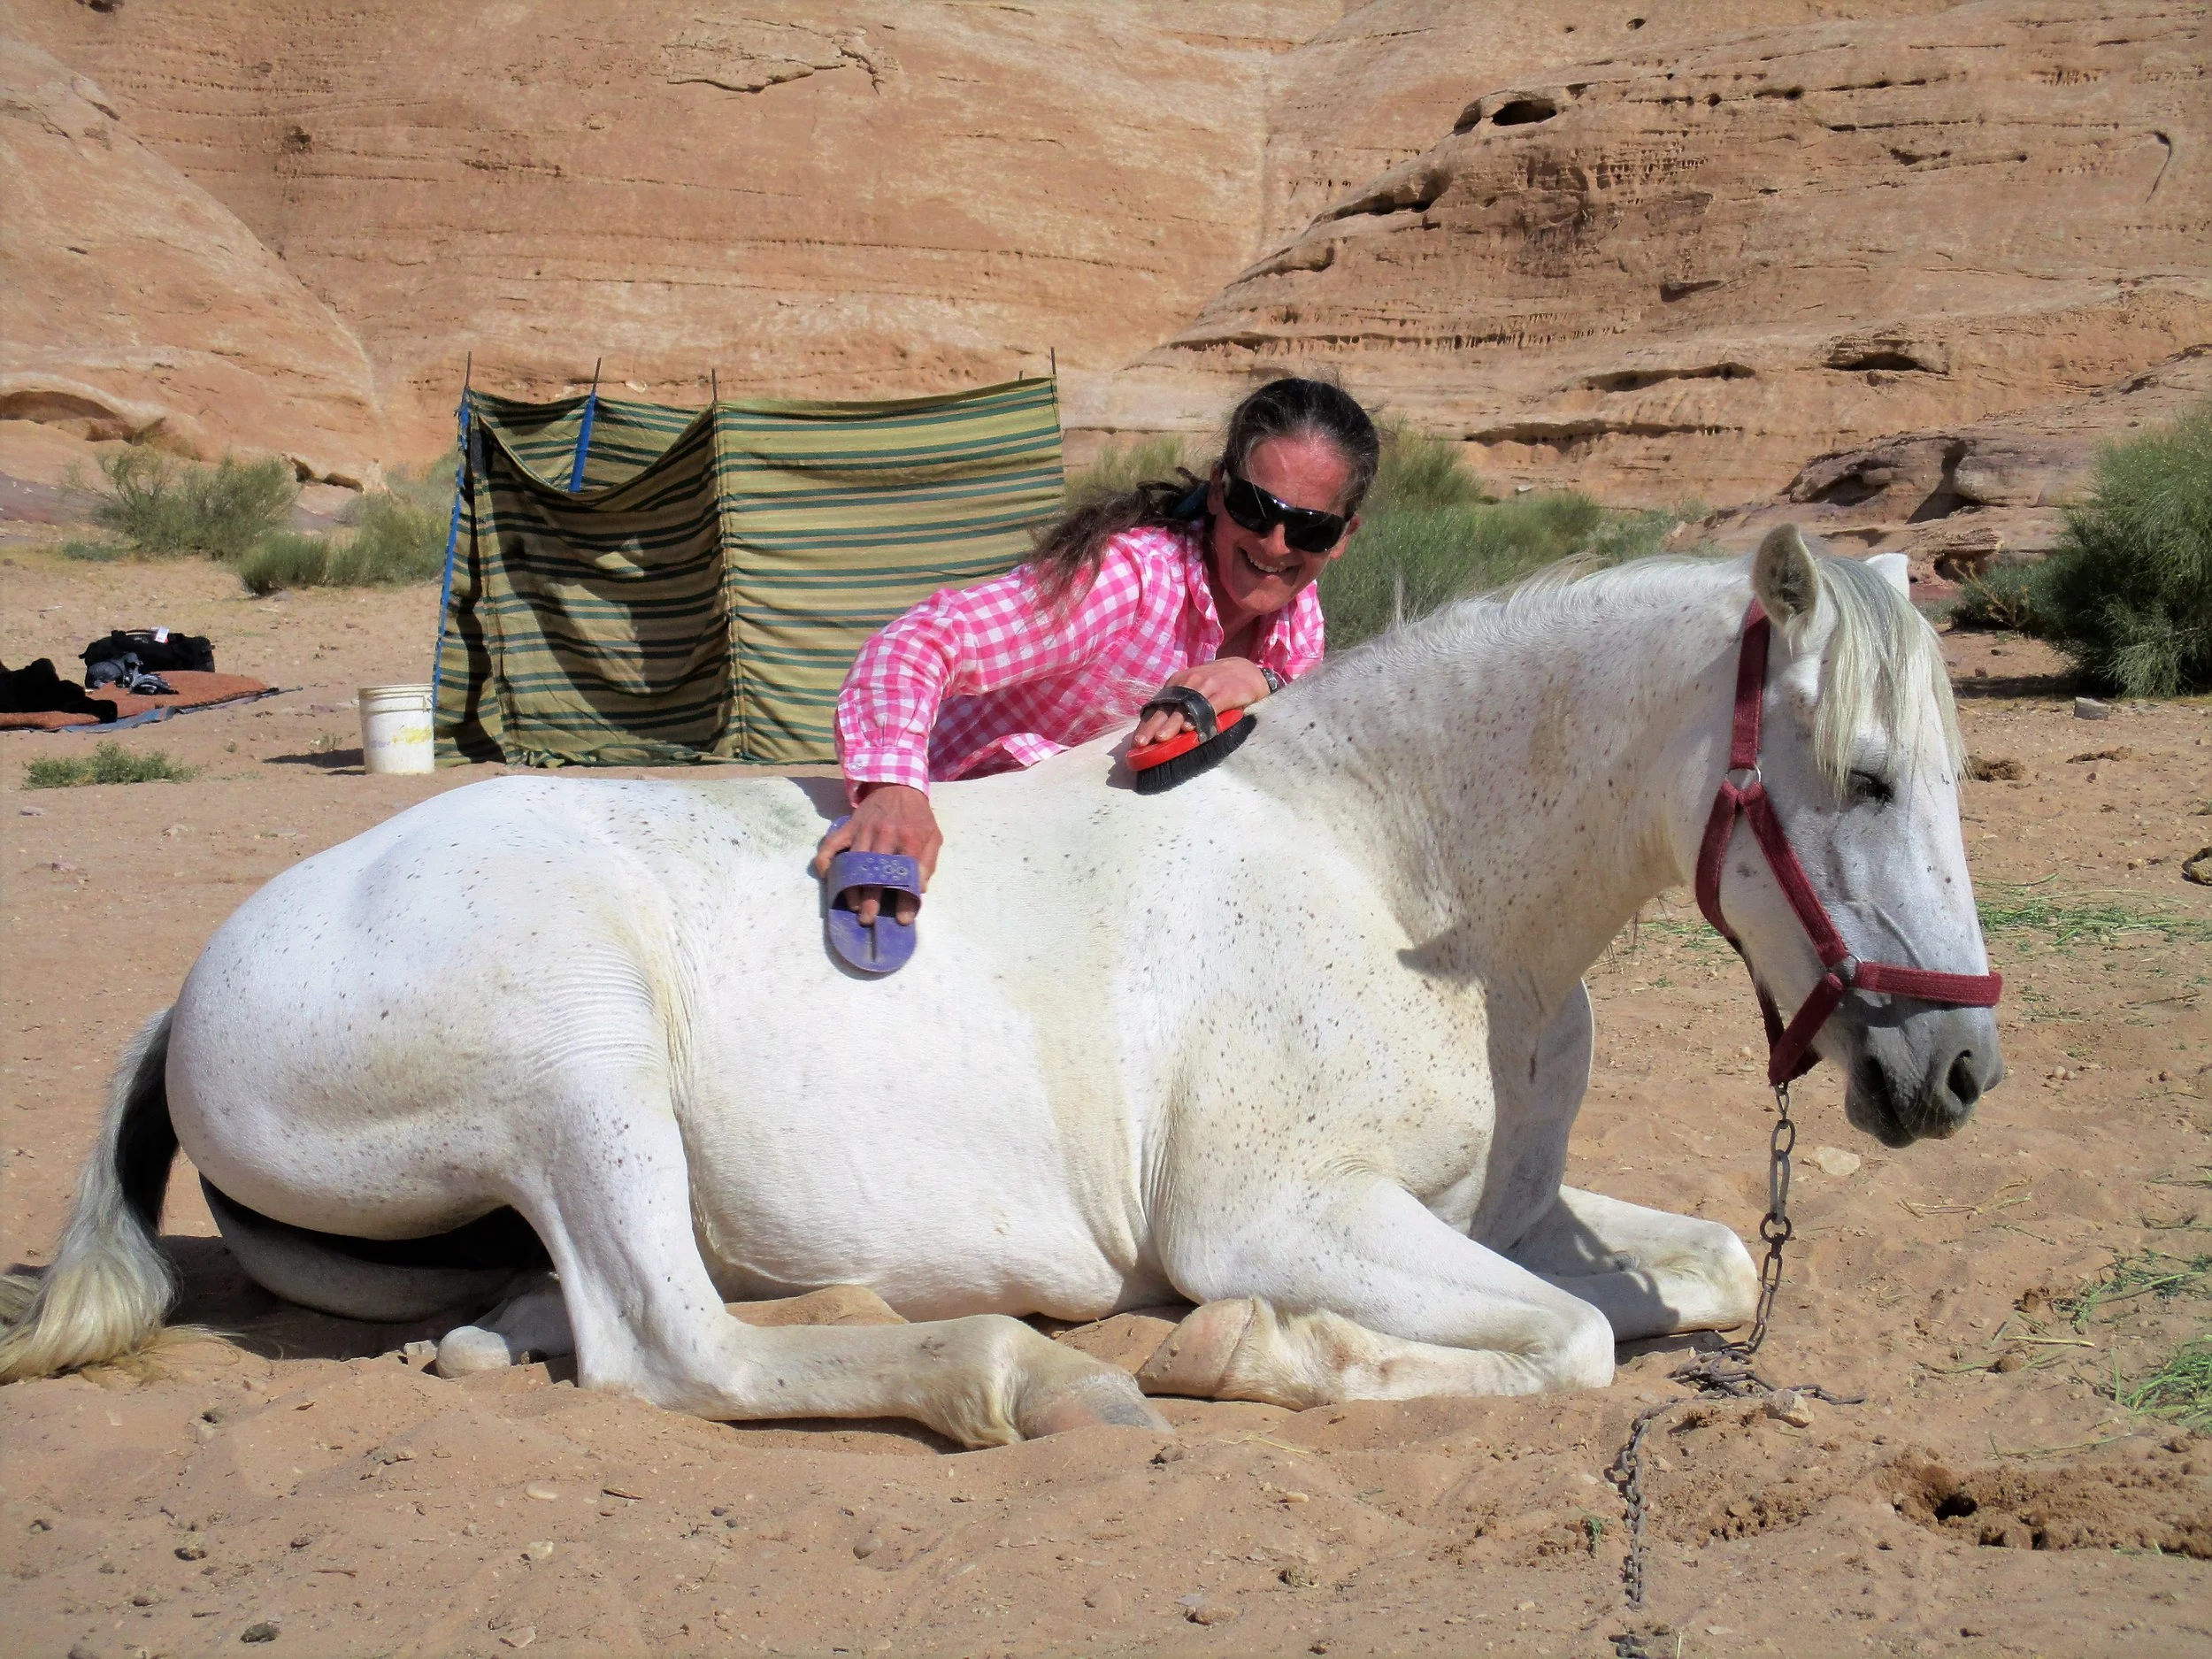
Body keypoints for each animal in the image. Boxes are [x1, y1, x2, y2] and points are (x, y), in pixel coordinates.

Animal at [0, 527, 2004, 1447]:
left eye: (1951, 775)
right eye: (1865, 780)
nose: (1957, 1074)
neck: (1398, 883)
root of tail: (197, 982)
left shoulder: (1498, 1208)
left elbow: (1696, 1267)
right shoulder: (1280, 1218)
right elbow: (1569, 1339)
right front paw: (1248, 1352)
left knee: (598, 1306)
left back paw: (519, 1326)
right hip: (577, 1058)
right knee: (674, 1344)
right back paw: (1026, 1375)